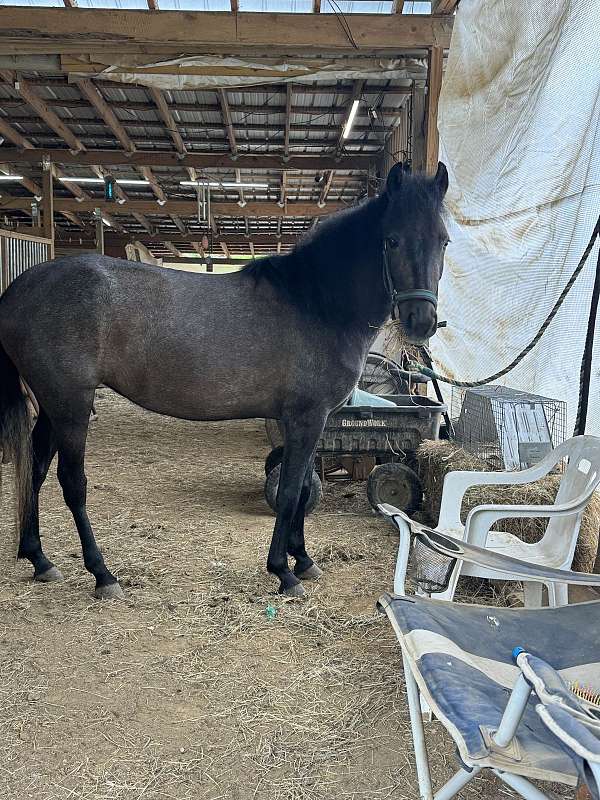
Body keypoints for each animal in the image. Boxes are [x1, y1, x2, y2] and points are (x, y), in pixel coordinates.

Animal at [0, 162, 448, 596]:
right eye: (392, 240)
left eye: (443, 241)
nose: (421, 322)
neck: (316, 303)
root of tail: (19, 290)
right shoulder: (306, 418)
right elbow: (290, 492)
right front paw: (283, 572)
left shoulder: (315, 422)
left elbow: (303, 488)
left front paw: (303, 562)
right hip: (71, 404)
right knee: (71, 482)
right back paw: (102, 574)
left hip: (53, 405)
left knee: (35, 469)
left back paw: (39, 559)